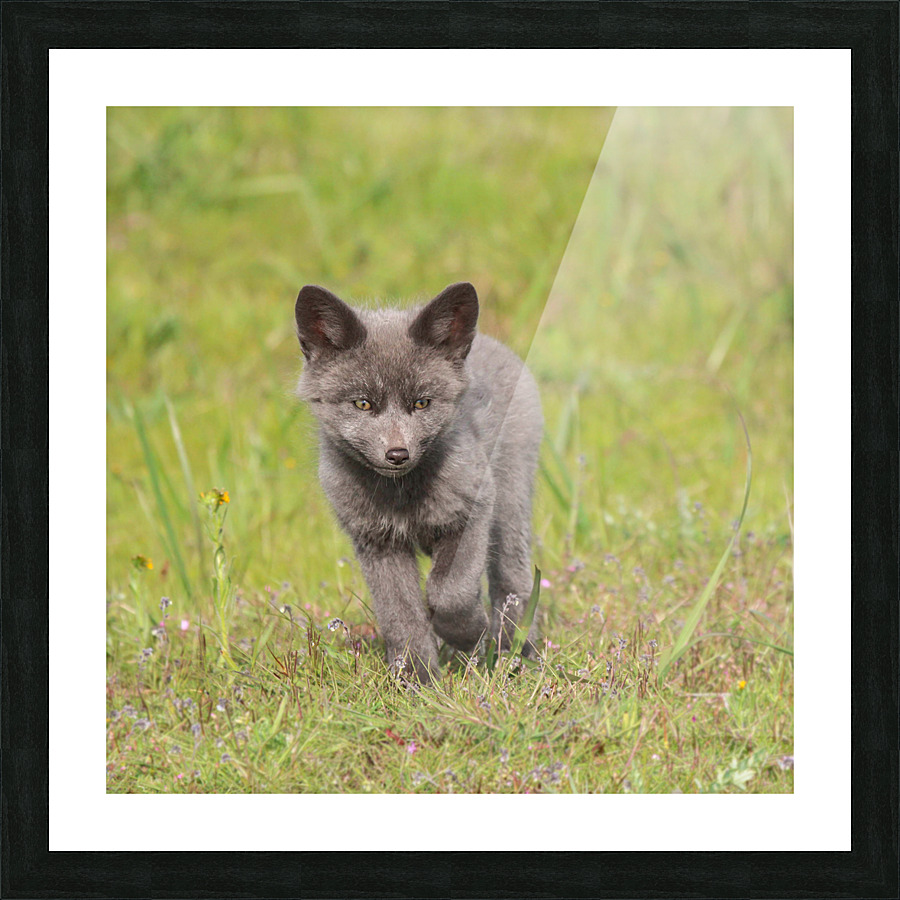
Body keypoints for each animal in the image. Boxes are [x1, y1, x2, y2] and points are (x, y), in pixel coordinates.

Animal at [294, 281, 543, 683]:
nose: (397, 454)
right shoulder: (376, 541)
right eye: (363, 404)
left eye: (422, 403)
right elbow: (401, 616)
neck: (403, 498)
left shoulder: (473, 510)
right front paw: (417, 680)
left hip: (509, 508)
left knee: (513, 583)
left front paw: (469, 632)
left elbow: (450, 592)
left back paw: (517, 657)